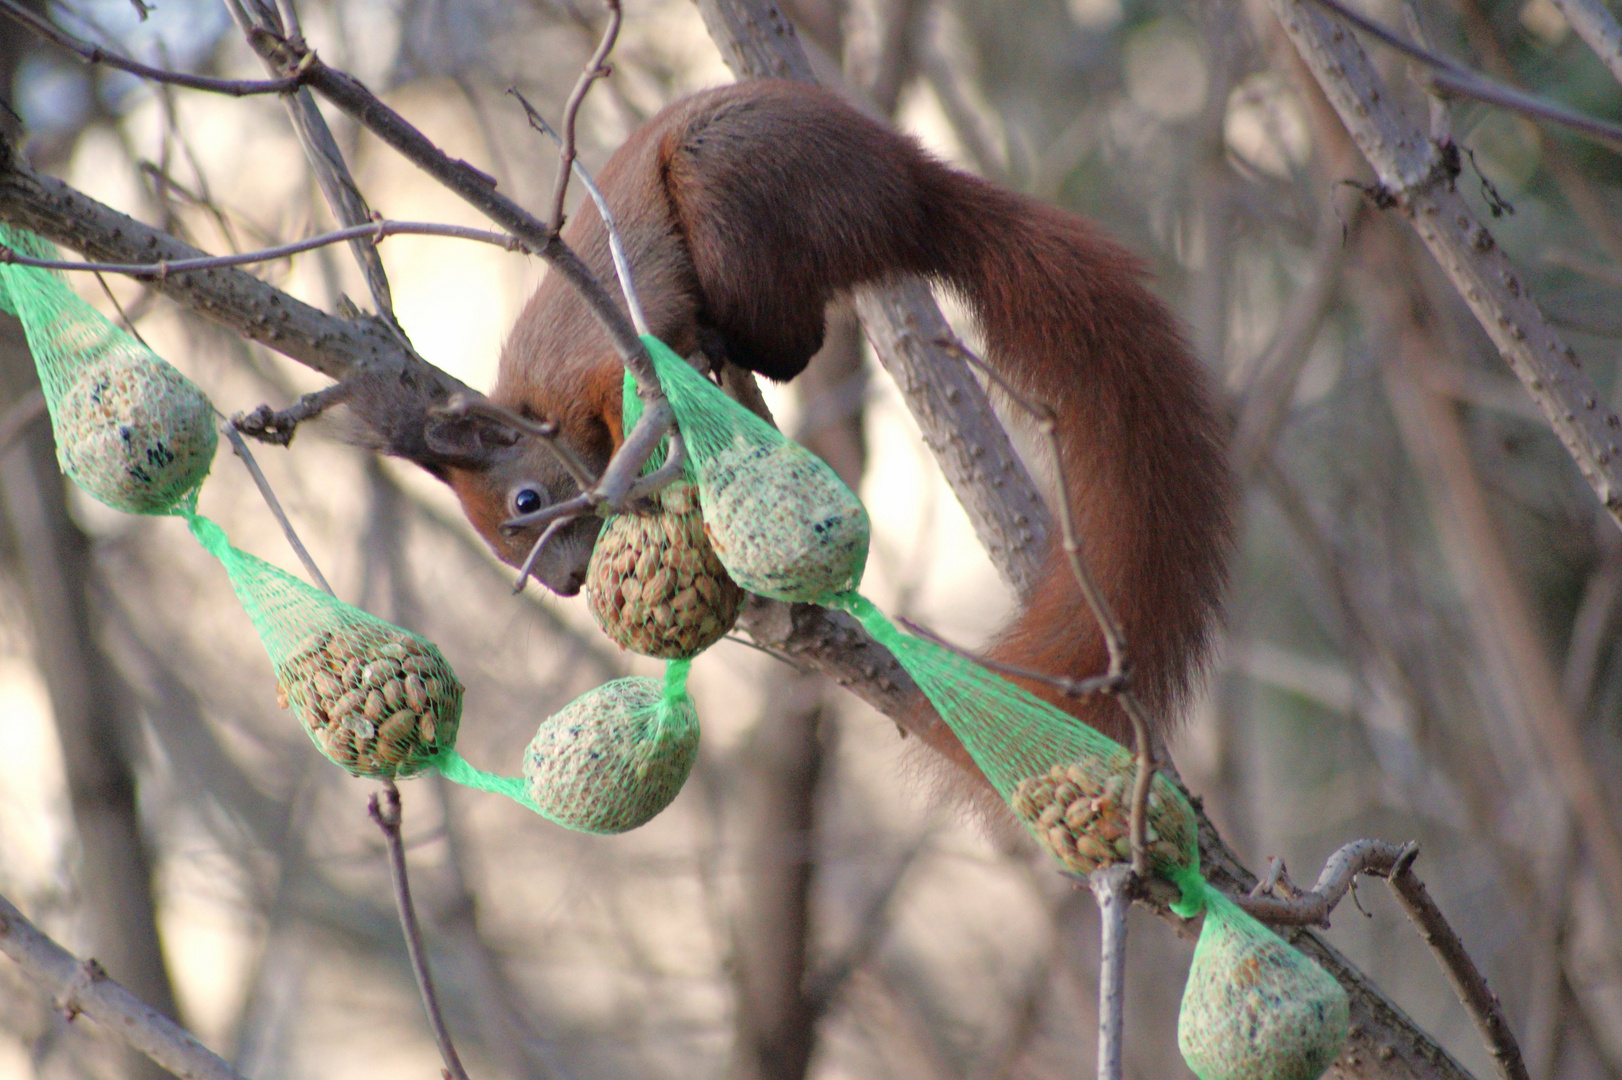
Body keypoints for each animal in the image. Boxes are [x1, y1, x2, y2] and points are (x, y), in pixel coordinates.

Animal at [411, 75, 1232, 781]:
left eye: (525, 505)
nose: (567, 583)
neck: (538, 395)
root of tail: (909, 192)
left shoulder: (602, 360)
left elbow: (633, 406)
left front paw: (634, 479)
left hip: (731, 198)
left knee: (792, 341)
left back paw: (723, 349)